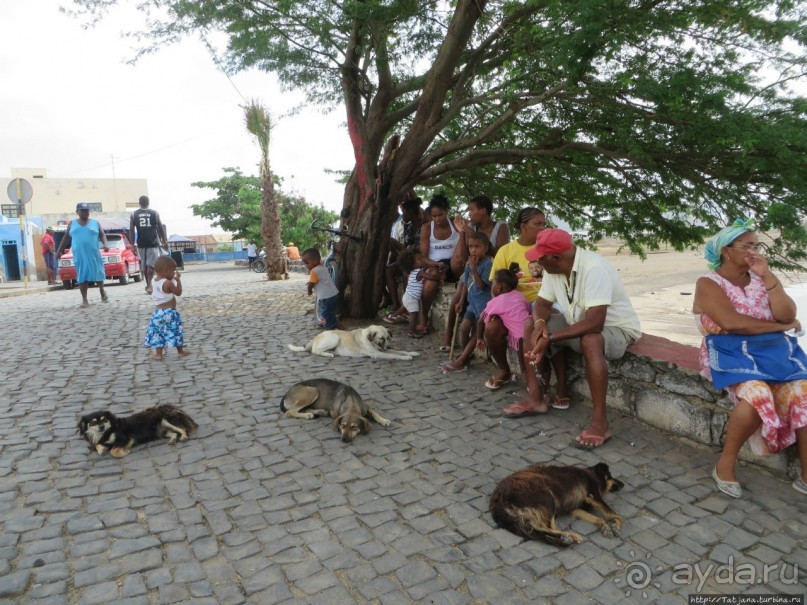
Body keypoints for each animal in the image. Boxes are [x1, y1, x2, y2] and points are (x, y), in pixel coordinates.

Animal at [486, 462, 624, 548]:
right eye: (611, 476)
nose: (623, 484)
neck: (592, 474)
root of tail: (497, 500)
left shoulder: (575, 509)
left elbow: (597, 518)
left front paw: (605, 526)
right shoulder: (593, 495)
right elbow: (614, 514)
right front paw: (616, 526)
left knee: (541, 529)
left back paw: (566, 537)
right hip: (548, 497)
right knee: (546, 527)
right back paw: (569, 536)